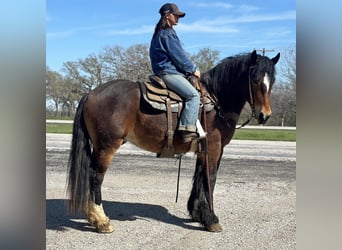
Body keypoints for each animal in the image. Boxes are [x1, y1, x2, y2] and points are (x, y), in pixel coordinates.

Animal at [65, 49, 280, 233]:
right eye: (254, 80)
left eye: (272, 82)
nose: (265, 115)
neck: (217, 100)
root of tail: (90, 93)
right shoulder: (215, 148)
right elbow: (210, 179)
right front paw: (211, 219)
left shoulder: (203, 149)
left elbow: (198, 179)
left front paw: (197, 214)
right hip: (107, 147)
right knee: (96, 178)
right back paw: (101, 221)